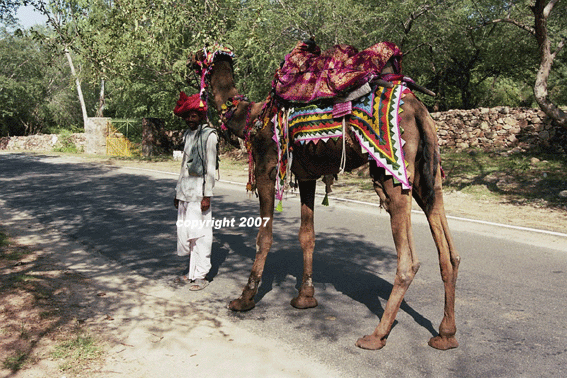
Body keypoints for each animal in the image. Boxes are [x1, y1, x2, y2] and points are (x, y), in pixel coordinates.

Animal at [191, 42, 462, 350]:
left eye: (199, 56)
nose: (188, 62)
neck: (251, 116)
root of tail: (419, 109)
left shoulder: (266, 169)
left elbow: (264, 237)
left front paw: (244, 299)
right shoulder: (307, 176)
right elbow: (307, 236)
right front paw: (304, 297)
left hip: (394, 171)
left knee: (408, 261)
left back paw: (376, 335)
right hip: (429, 171)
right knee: (448, 249)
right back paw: (445, 334)